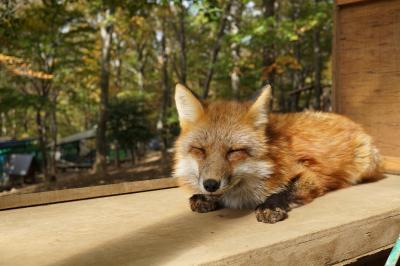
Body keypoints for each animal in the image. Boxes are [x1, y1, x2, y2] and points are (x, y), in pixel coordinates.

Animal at [173, 83, 384, 222]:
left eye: (235, 151)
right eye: (199, 150)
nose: (210, 185)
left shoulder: (310, 175)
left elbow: (285, 191)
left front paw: (270, 205)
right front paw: (207, 197)